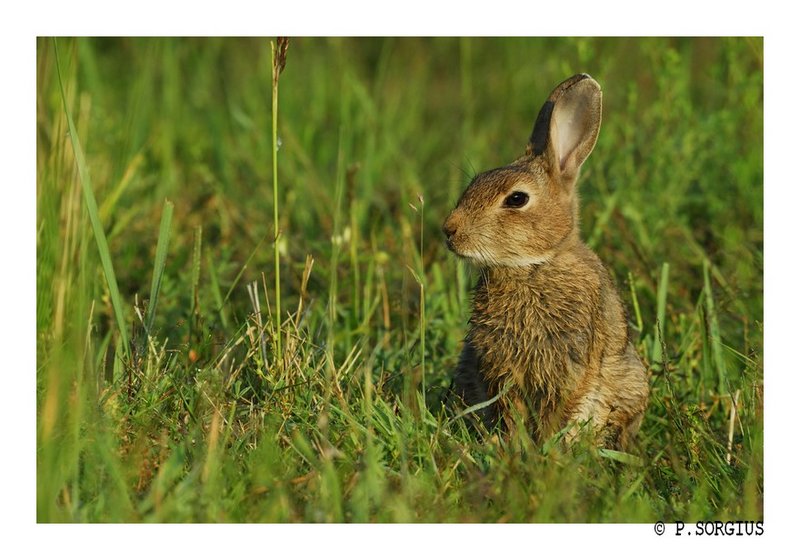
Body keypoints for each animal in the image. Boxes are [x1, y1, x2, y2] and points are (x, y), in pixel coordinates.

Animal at [443, 74, 649, 450]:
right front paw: (517, 446)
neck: (533, 266)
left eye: (517, 199)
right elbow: (510, 409)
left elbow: (560, 409)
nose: (449, 230)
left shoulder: (571, 363)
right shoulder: (499, 367)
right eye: (473, 183)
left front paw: (545, 450)